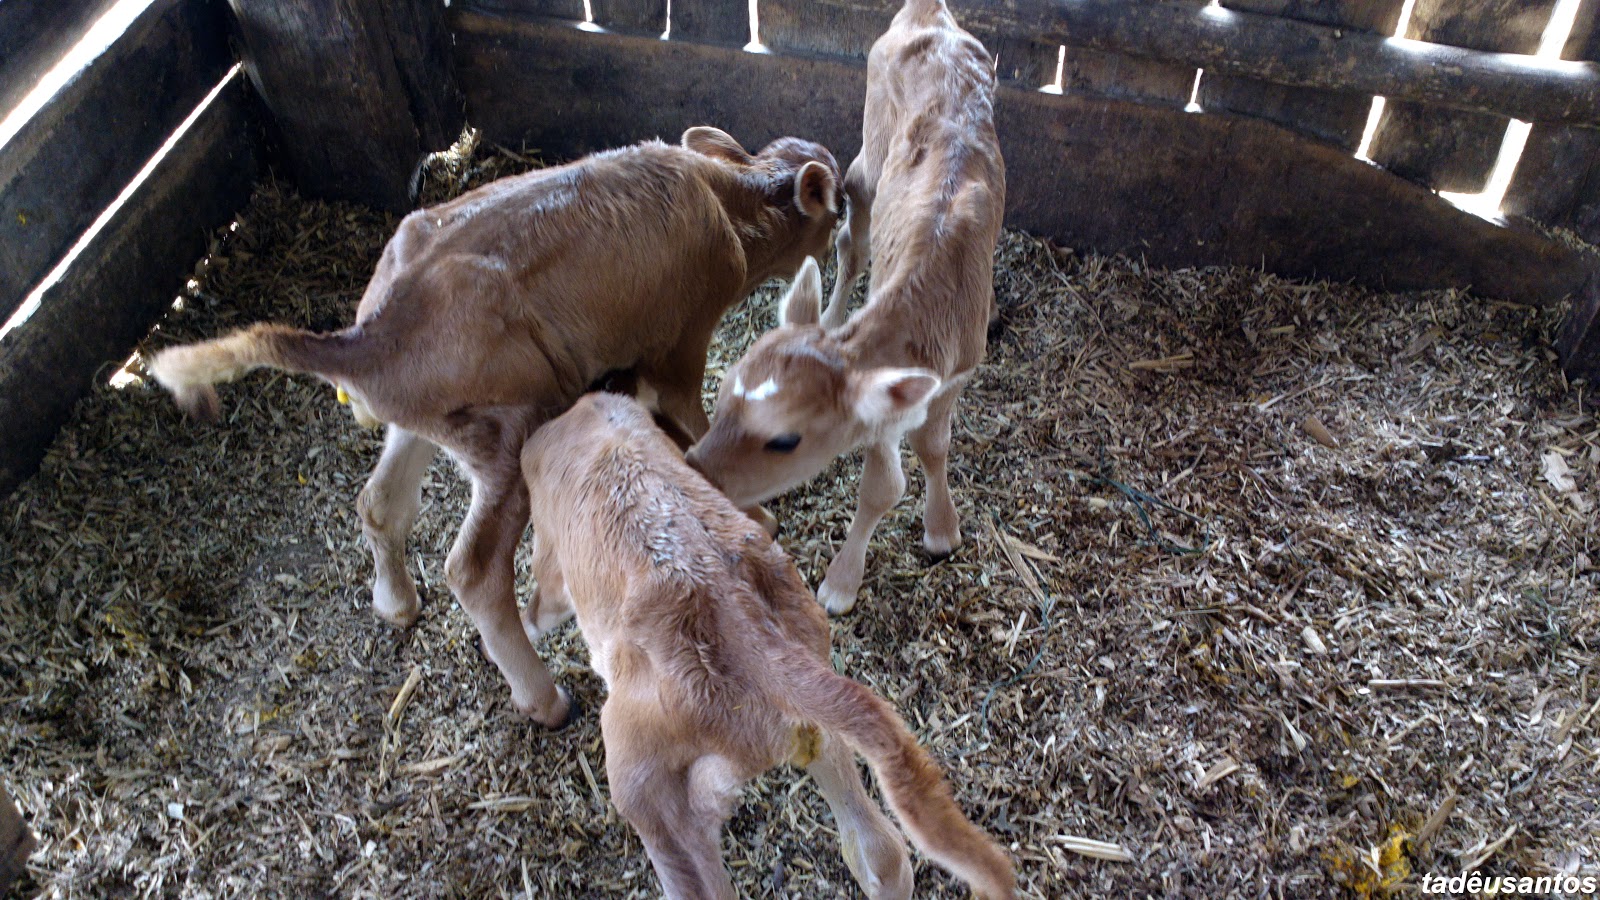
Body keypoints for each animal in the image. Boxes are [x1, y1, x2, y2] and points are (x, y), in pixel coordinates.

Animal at [146, 128, 843, 726]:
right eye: (837, 212)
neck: (726, 199)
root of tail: (366, 338)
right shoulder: (679, 341)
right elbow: (693, 422)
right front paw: (755, 512)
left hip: (424, 424)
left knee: (380, 502)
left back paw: (396, 603)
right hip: (512, 433)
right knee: (473, 570)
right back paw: (545, 699)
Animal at [520, 392, 1015, 900]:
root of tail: (746, 630)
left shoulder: (549, 560)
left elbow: (538, 608)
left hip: (640, 777)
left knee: (701, 883)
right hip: (819, 723)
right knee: (881, 854)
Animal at [684, 0, 1005, 615]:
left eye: (786, 438)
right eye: (725, 388)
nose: (693, 471)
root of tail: (931, 15)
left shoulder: (956, 373)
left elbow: (931, 448)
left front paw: (939, 530)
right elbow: (885, 485)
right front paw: (842, 583)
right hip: (867, 162)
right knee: (852, 245)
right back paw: (829, 315)